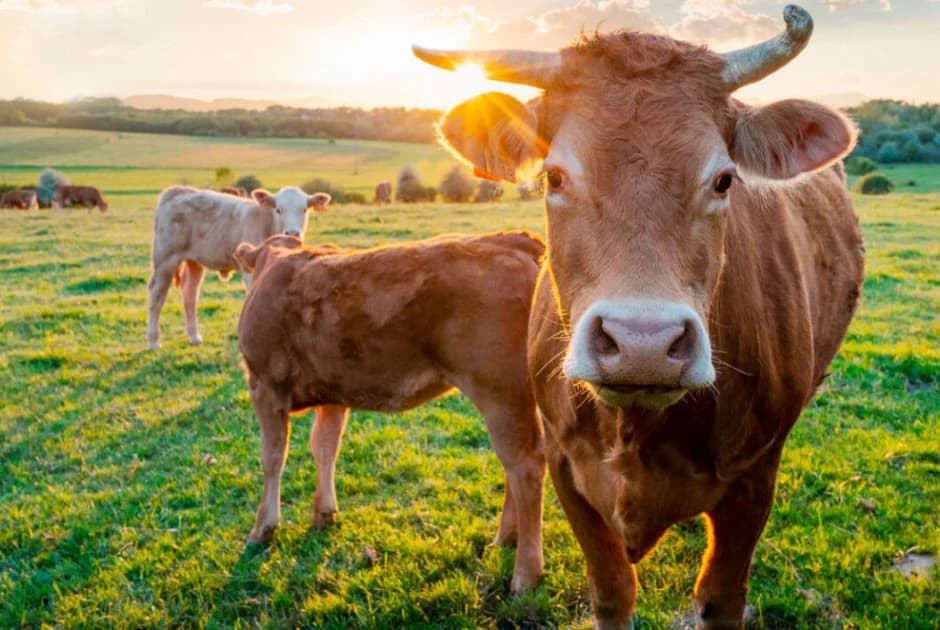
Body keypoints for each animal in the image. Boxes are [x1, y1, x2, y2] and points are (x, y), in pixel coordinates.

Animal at [146, 186, 331, 349]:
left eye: (304, 210)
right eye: (278, 210)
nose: (292, 233)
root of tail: (177, 191)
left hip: (194, 261)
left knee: (190, 294)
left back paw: (194, 337)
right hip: (165, 258)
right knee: (157, 294)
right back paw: (153, 341)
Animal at [234, 230, 547, 593]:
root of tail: (507, 239)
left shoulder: (264, 387)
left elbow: (272, 458)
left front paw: (263, 529)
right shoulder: (332, 394)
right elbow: (325, 448)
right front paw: (324, 513)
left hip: (500, 393)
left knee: (525, 467)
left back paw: (525, 574)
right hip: (516, 397)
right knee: (517, 464)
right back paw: (505, 539)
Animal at [415, 4, 864, 628]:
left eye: (723, 179)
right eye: (554, 177)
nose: (643, 344)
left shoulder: (755, 480)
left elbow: (721, 596)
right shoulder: (567, 469)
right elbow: (611, 590)